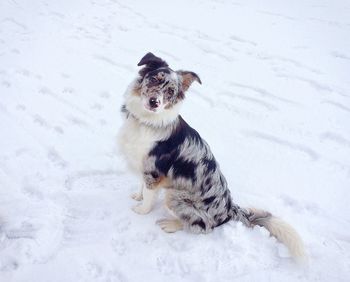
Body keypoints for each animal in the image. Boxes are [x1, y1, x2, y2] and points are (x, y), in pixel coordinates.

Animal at [117, 52, 304, 260]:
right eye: (155, 79)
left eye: (170, 91)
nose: (154, 102)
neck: (146, 122)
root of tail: (230, 210)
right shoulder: (143, 165)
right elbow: (142, 185)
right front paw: (137, 196)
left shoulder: (155, 171)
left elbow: (149, 195)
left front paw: (141, 211)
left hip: (175, 195)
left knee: (203, 226)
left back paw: (170, 225)